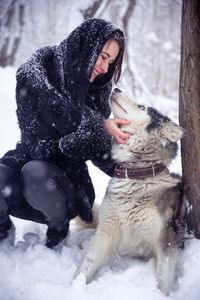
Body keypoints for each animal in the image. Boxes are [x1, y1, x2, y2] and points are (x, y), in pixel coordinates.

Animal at [74, 88, 185, 296]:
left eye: (142, 107)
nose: (116, 88)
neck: (137, 175)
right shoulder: (105, 232)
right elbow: (85, 267)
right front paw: (72, 288)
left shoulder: (167, 241)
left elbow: (163, 281)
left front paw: (162, 295)